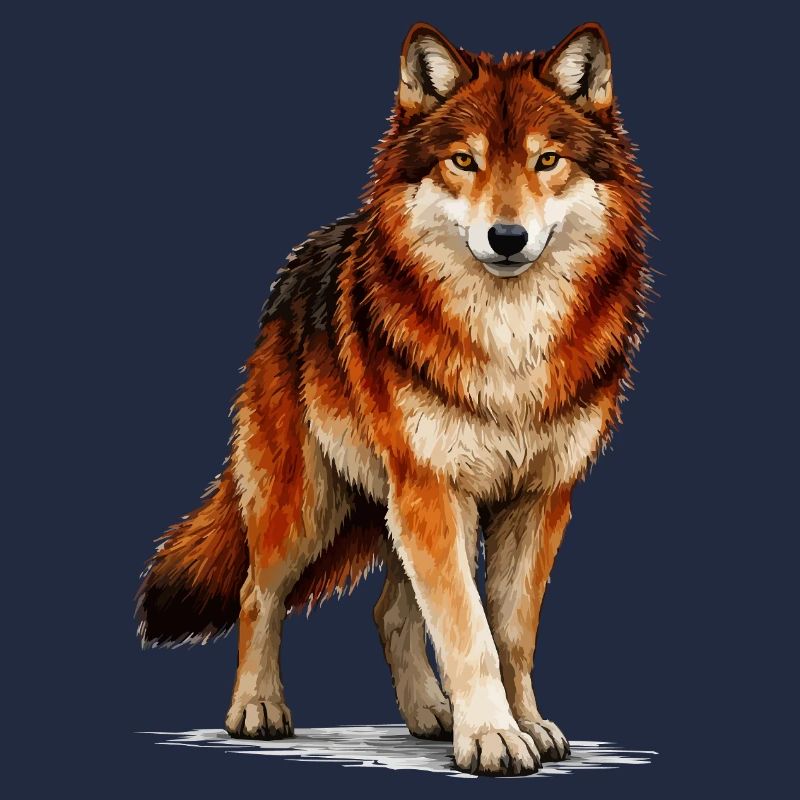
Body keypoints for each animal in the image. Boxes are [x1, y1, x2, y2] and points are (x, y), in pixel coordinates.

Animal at [137, 21, 650, 776]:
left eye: (546, 160)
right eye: (464, 161)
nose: (507, 238)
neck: (509, 342)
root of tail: (301, 263)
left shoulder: (540, 499)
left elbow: (511, 633)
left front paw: (526, 725)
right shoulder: (433, 489)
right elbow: (470, 632)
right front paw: (493, 737)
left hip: (400, 508)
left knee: (389, 611)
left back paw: (432, 715)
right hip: (312, 504)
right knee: (258, 592)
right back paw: (257, 709)